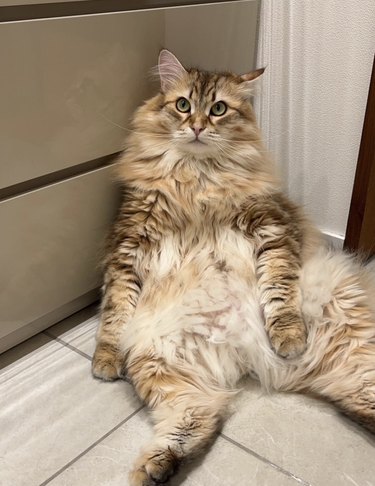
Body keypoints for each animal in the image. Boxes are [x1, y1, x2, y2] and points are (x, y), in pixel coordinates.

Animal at [92, 50, 375, 486]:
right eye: (183, 105)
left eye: (219, 109)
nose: (196, 127)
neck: (196, 180)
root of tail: (245, 352)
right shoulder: (128, 246)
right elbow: (114, 311)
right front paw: (104, 360)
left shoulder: (272, 228)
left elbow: (279, 292)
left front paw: (288, 337)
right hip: (154, 356)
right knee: (201, 414)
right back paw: (156, 468)